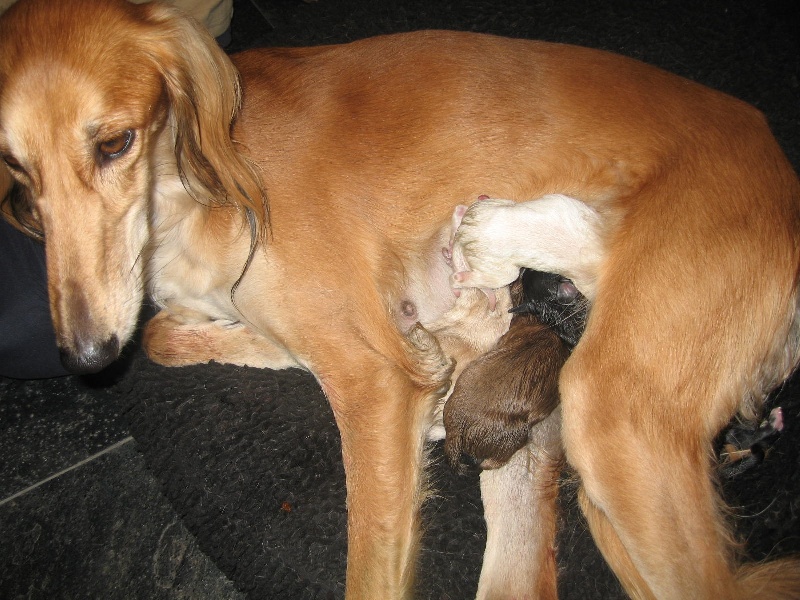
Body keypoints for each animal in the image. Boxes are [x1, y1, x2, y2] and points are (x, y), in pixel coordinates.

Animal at [1, 0, 800, 596]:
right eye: (14, 169)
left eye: (114, 143)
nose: (86, 357)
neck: (195, 185)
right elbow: (168, 334)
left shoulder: (372, 382)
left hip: (615, 415)